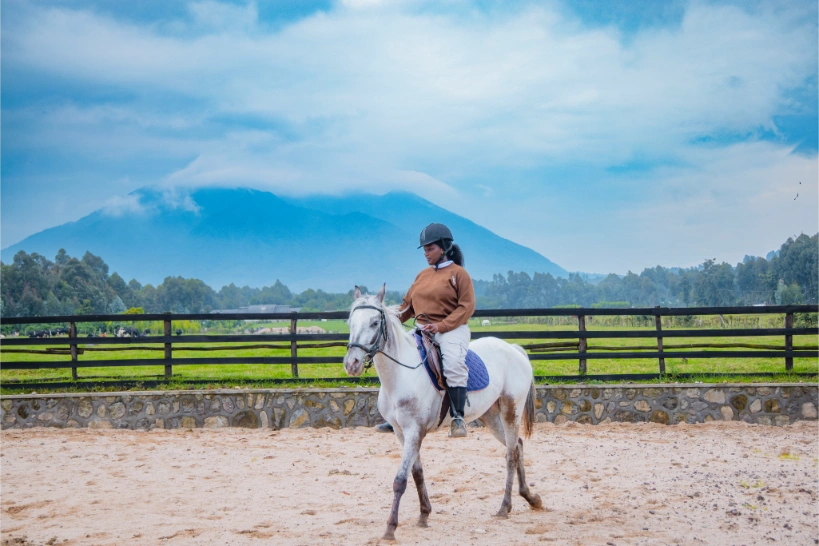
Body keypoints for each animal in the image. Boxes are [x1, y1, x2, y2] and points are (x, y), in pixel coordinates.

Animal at [343, 285, 542, 541]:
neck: (400, 375)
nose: (352, 364)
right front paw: (424, 515)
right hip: (491, 416)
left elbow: (400, 479)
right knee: (517, 446)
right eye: (350, 322)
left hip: (510, 410)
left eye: (375, 322)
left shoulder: (413, 431)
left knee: (510, 455)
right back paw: (530, 497)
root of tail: (514, 349)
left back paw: (504, 507)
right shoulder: (401, 433)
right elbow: (417, 472)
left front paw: (390, 528)